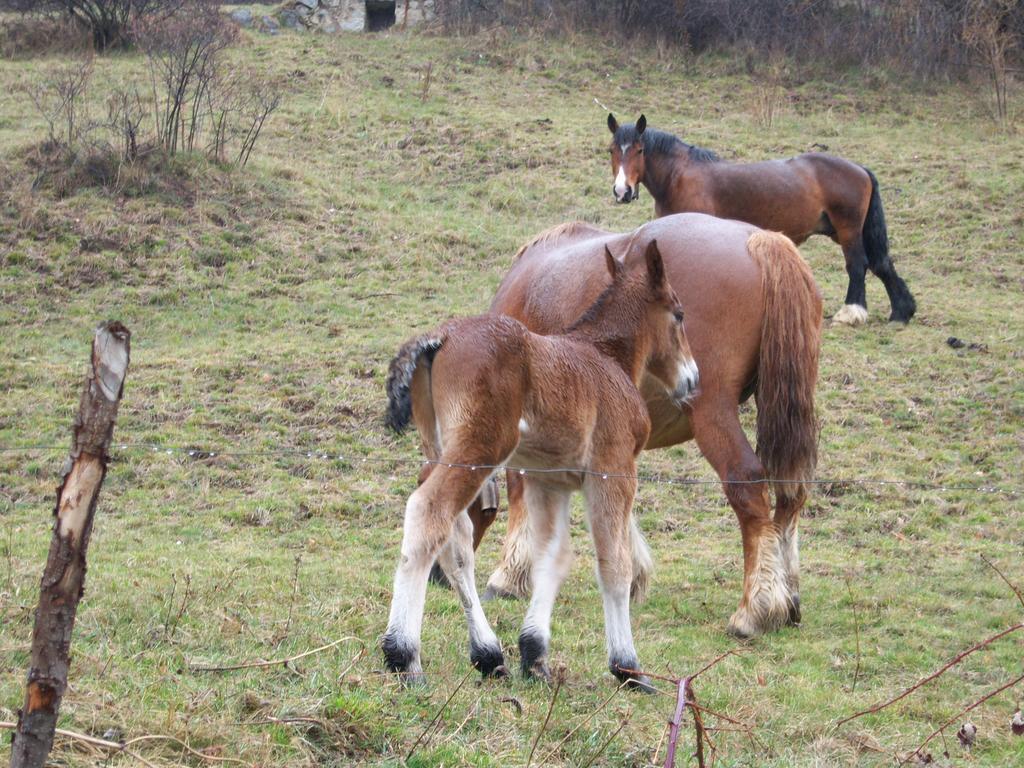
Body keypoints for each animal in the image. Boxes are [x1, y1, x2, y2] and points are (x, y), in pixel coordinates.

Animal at [380, 239, 700, 684]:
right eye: (679, 313)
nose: (692, 379)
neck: (607, 358)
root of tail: (439, 336)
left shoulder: (550, 481)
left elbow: (553, 557)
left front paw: (534, 655)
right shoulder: (613, 471)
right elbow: (614, 563)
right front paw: (627, 666)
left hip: (440, 448)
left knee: (457, 539)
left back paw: (488, 653)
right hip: (479, 450)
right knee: (429, 512)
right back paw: (404, 655)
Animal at [479, 214, 823, 638]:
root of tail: (761, 241)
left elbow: (521, 486)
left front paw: (508, 575)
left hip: (713, 413)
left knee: (748, 484)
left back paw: (755, 608)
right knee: (792, 492)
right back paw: (787, 597)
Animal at [602, 112, 917, 325]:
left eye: (640, 150)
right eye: (612, 150)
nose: (622, 191)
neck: (679, 177)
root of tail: (859, 168)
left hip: (848, 229)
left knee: (858, 265)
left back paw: (852, 312)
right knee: (881, 264)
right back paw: (902, 310)